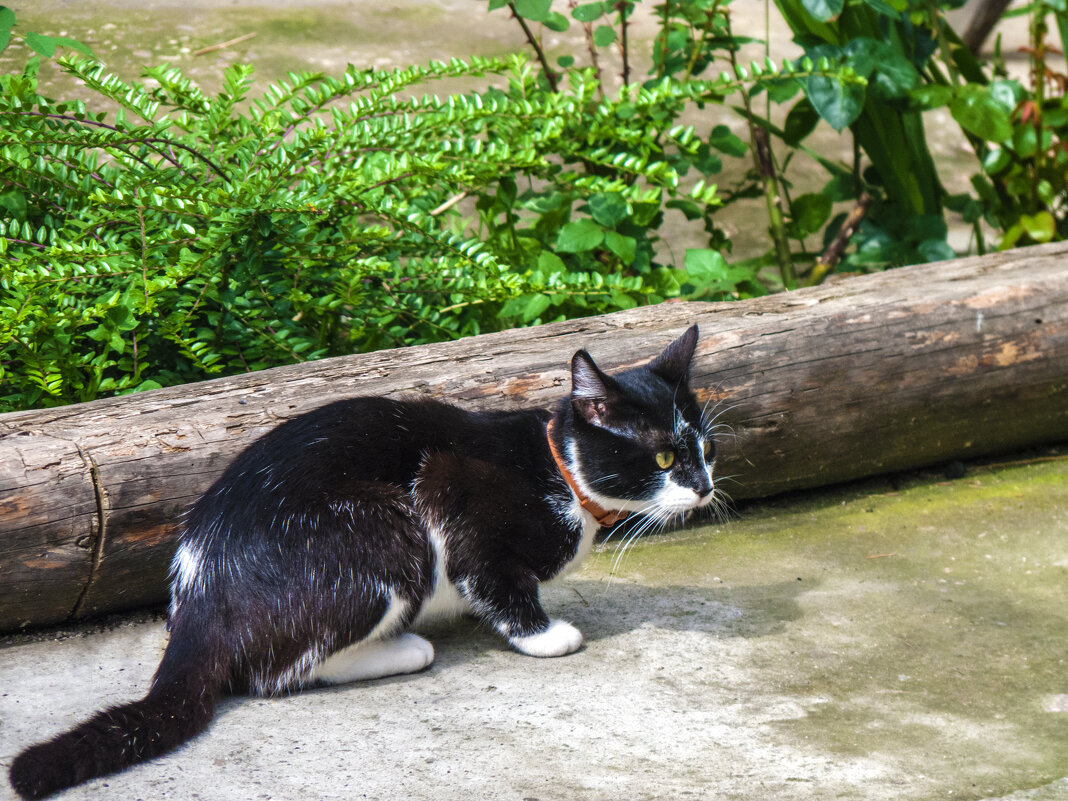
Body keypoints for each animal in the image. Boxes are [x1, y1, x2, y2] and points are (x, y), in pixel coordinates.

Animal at [6, 322, 717, 798]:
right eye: (662, 457)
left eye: (706, 450)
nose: (706, 488)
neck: (560, 471)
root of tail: (199, 594)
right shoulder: (451, 492)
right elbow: (491, 576)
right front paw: (540, 633)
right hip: (387, 531)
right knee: (276, 672)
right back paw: (402, 649)